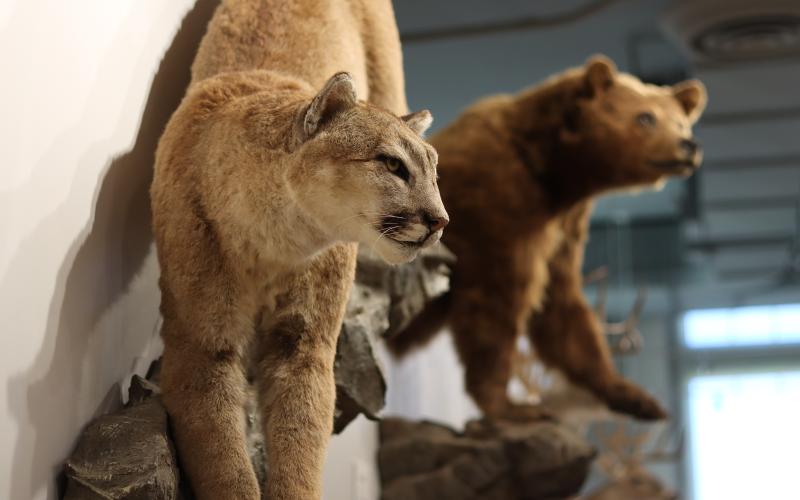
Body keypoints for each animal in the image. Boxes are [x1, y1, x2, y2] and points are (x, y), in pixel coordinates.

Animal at [151, 1, 447, 499]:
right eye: (392, 164)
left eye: (433, 171)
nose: (440, 221)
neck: (269, 236)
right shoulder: (202, 347)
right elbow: (223, 460)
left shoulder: (303, 343)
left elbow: (300, 443)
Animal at [387, 55, 707, 421]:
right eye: (646, 117)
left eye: (682, 123)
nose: (688, 146)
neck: (552, 172)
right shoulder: (498, 210)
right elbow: (496, 305)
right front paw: (512, 406)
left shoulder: (562, 231)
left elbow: (563, 310)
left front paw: (639, 398)